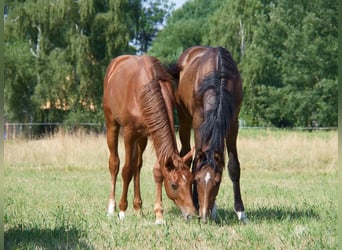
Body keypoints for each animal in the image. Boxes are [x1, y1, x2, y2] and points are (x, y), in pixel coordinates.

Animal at [103, 54, 196, 223]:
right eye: (174, 185)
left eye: (192, 180)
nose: (192, 214)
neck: (144, 88)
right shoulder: (129, 133)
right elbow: (126, 170)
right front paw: (122, 210)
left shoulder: (151, 133)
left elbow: (157, 171)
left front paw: (159, 214)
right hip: (112, 124)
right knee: (115, 164)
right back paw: (112, 207)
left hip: (142, 137)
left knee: (137, 165)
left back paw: (138, 208)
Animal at [170, 46, 246, 222]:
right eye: (196, 180)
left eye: (217, 182)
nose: (204, 216)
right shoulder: (198, 120)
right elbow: (194, 163)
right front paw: (197, 205)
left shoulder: (233, 122)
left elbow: (234, 166)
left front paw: (240, 211)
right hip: (184, 119)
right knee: (185, 152)